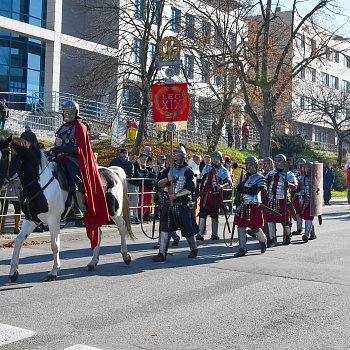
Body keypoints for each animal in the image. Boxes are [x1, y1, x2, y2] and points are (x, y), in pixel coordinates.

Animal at [0, 135, 134, 284]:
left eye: (3, 157)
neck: (39, 181)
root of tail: (112, 171)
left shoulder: (53, 220)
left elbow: (54, 245)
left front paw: (54, 271)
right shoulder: (31, 219)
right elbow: (18, 240)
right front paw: (13, 272)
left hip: (114, 211)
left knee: (122, 228)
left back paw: (126, 256)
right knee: (98, 234)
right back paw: (92, 263)